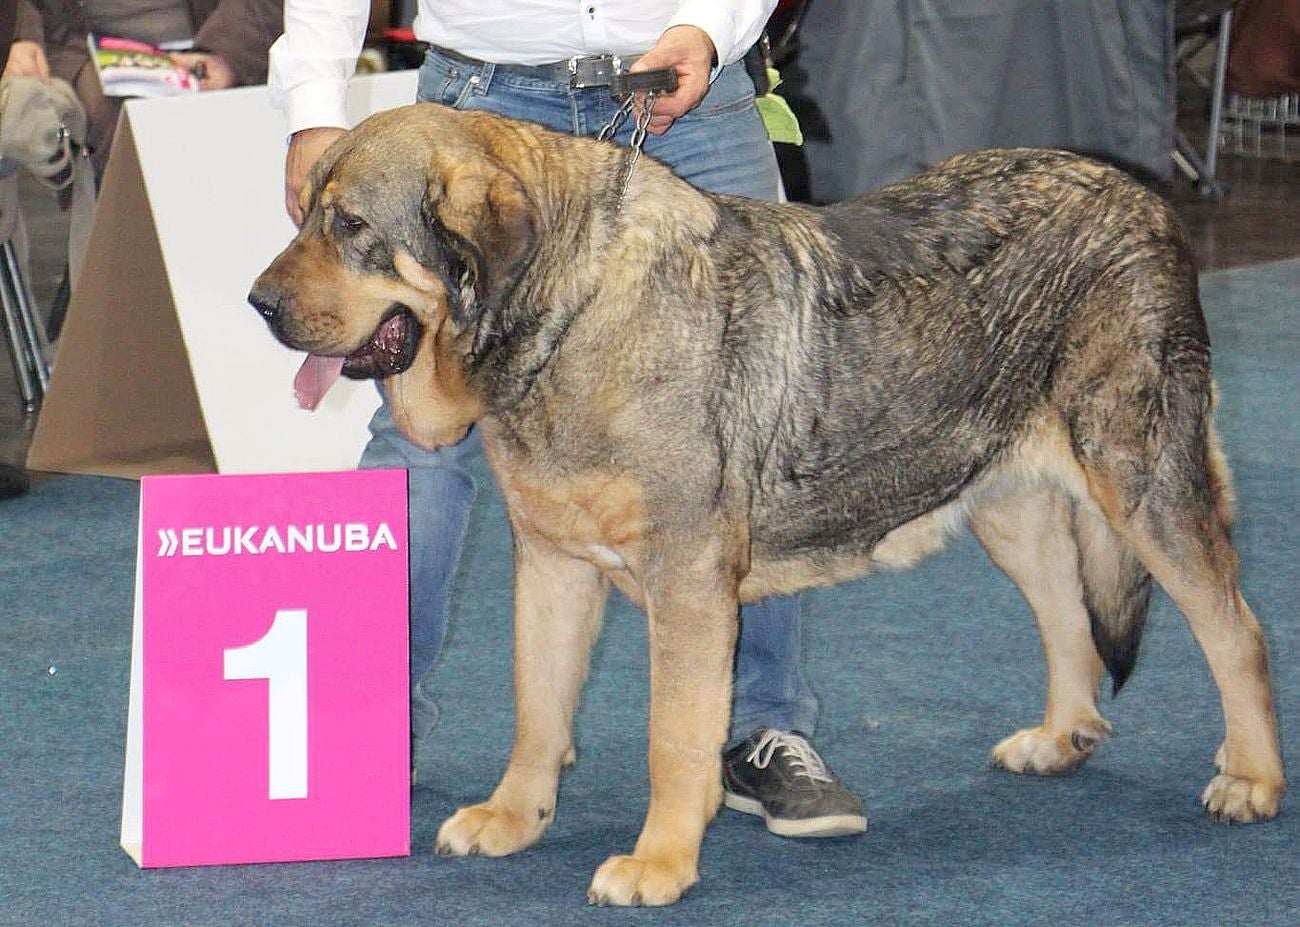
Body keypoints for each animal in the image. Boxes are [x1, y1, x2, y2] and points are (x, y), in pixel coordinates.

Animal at [248, 103, 1284, 904]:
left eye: (351, 227)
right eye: (306, 214)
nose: (256, 303)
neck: (569, 315)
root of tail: (1139, 191)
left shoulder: (687, 586)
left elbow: (674, 735)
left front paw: (660, 863)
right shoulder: (552, 564)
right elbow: (537, 706)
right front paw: (515, 816)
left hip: (1141, 484)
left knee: (1236, 628)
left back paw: (1252, 779)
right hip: (998, 492)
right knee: (1068, 611)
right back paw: (1061, 737)